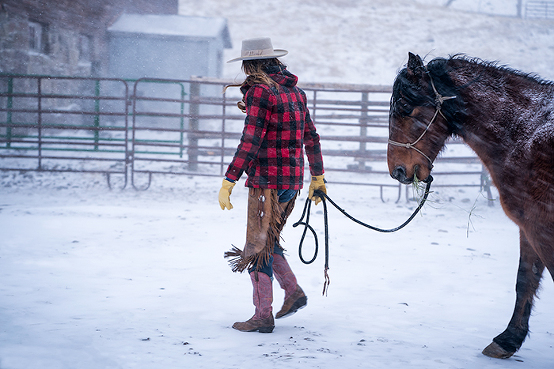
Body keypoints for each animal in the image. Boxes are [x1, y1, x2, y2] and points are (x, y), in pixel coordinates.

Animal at [386, 53, 548, 358]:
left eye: (404, 106)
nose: (397, 171)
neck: (526, 132)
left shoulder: (541, 226)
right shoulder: (529, 226)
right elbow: (525, 279)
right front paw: (508, 340)